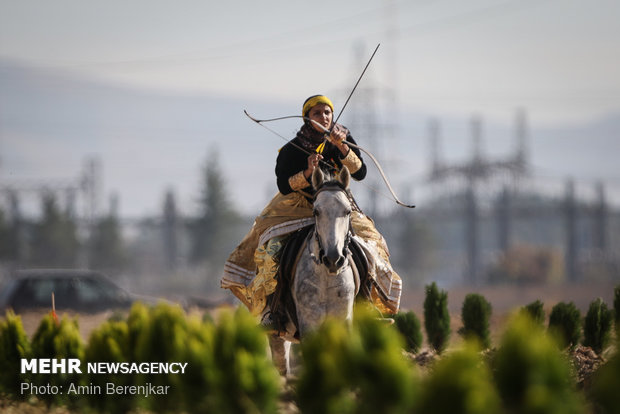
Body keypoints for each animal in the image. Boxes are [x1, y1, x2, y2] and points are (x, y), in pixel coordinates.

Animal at [268, 165, 360, 376]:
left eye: (348, 211)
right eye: (316, 211)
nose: (333, 259)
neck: (326, 276)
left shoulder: (343, 320)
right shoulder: (309, 324)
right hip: (278, 336)